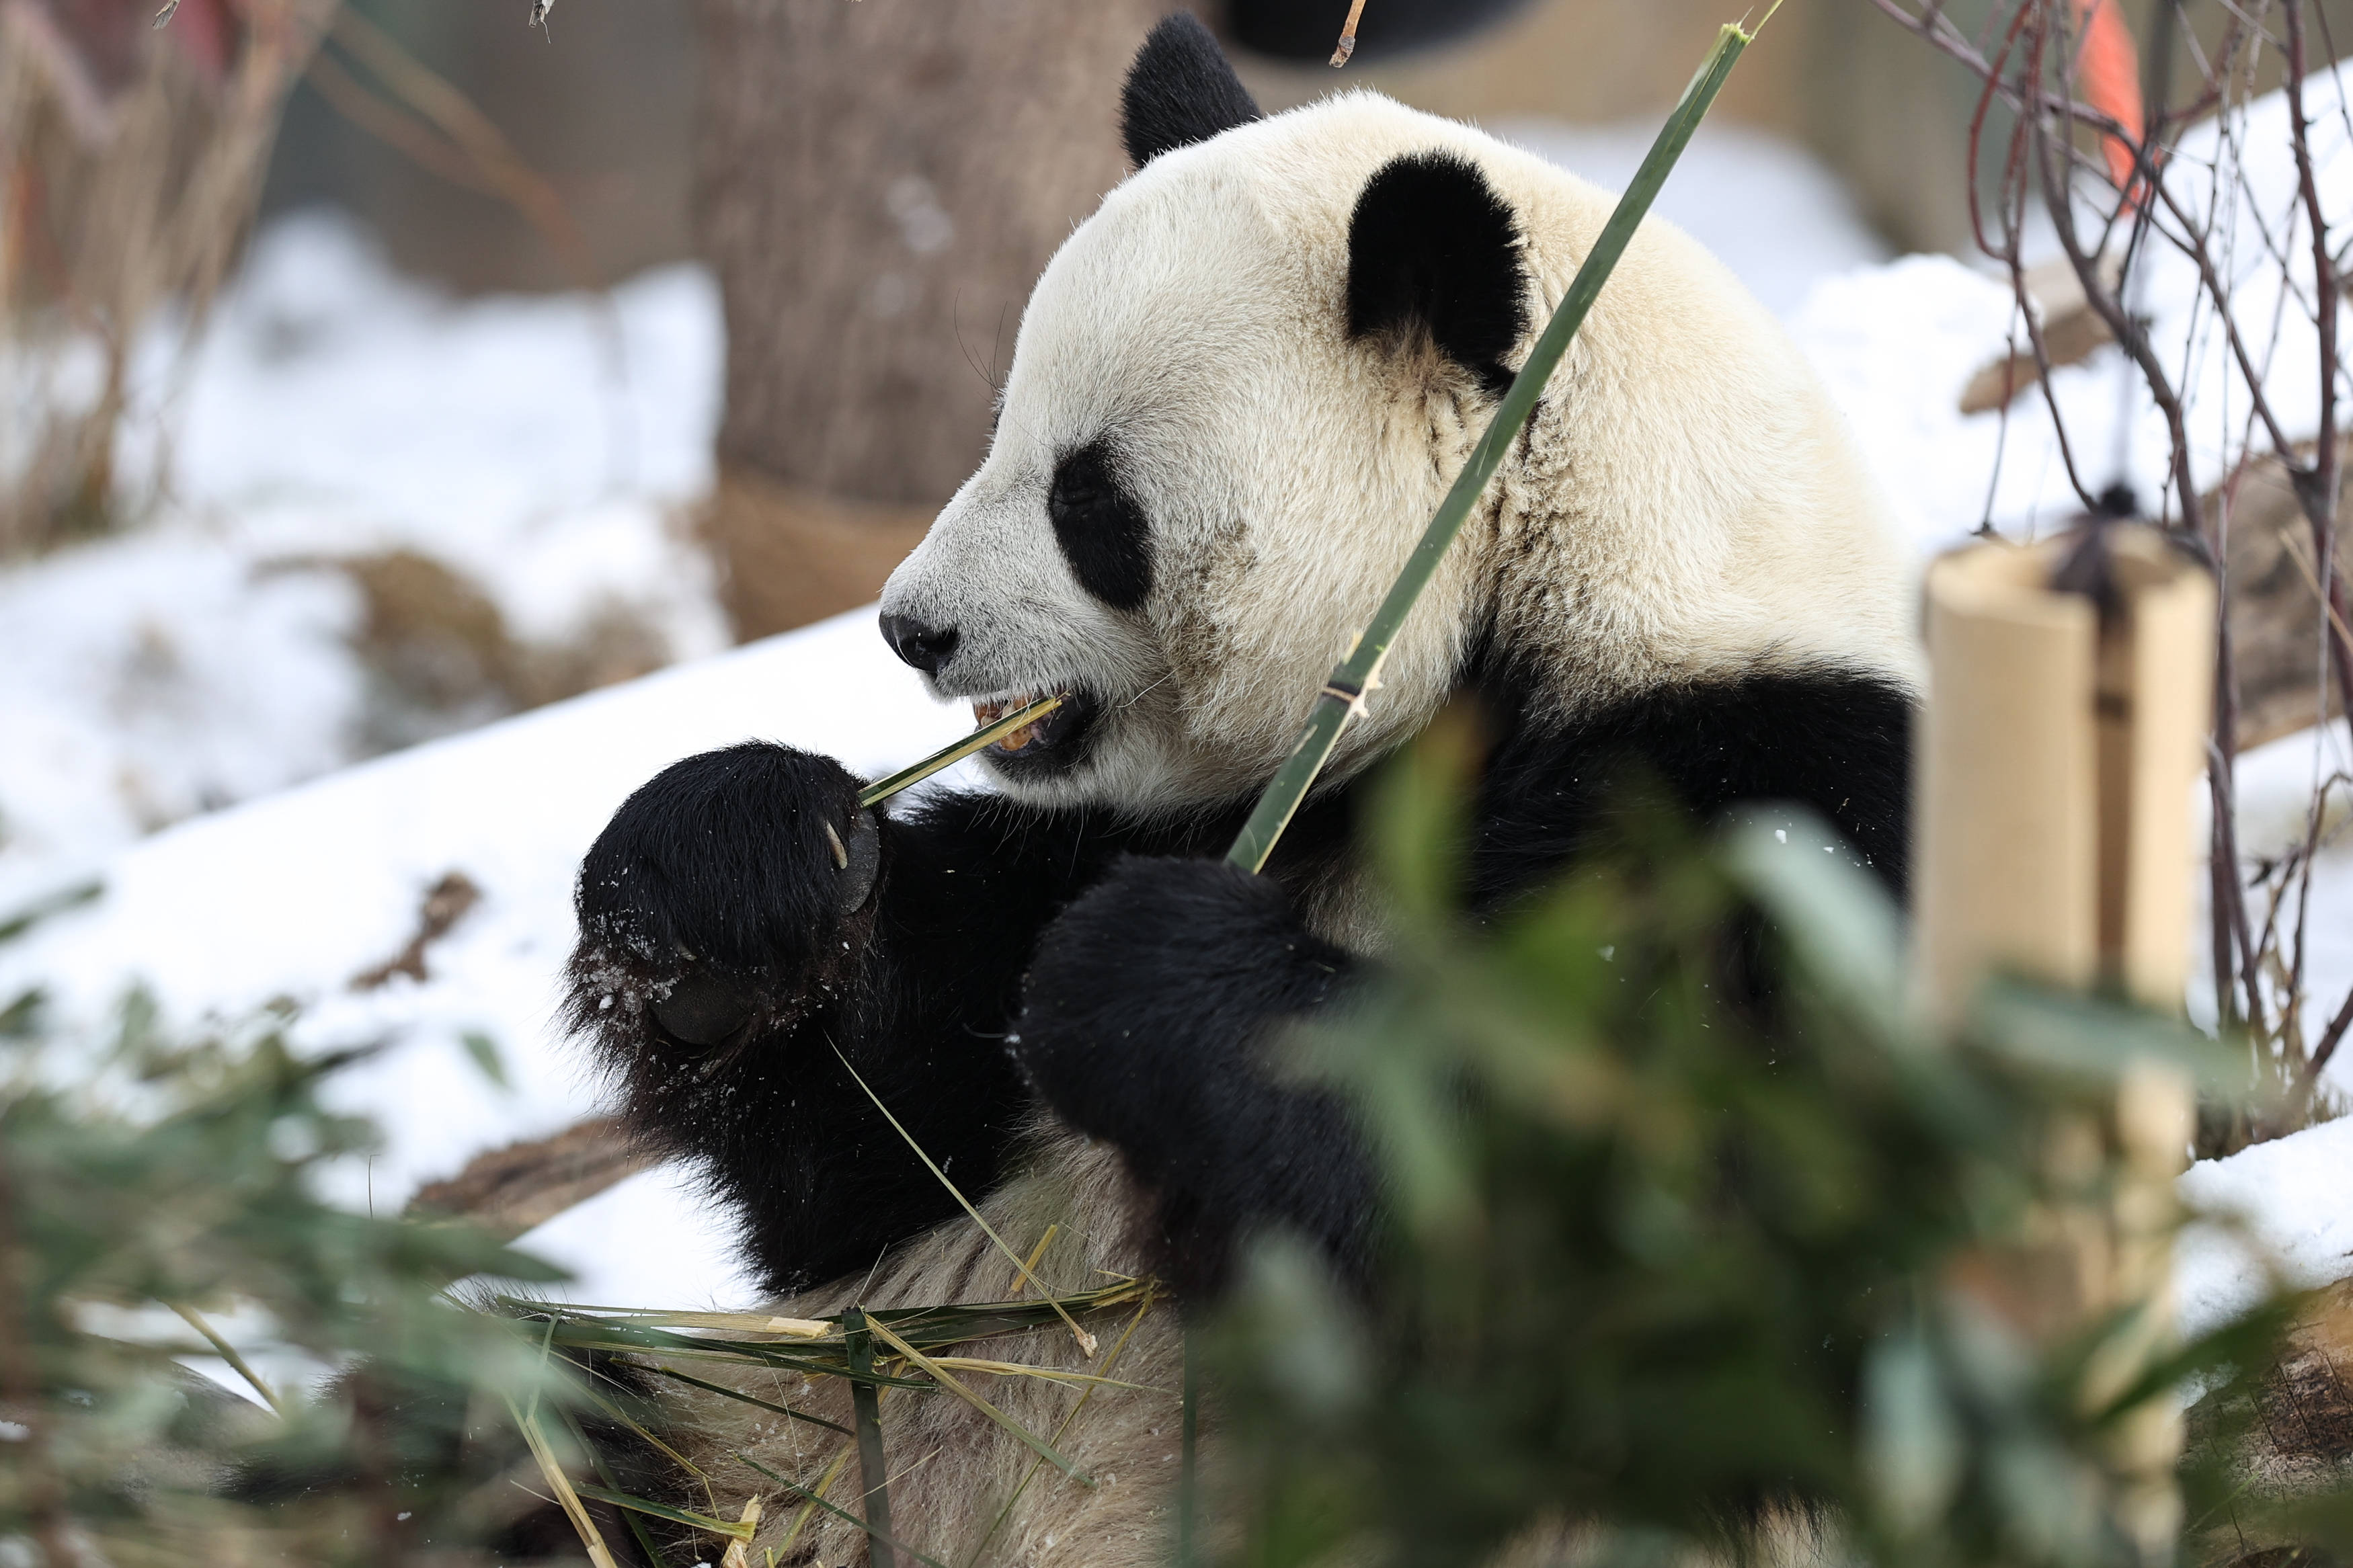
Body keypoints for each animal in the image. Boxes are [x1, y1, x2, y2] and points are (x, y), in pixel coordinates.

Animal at [560, 15, 1920, 1568]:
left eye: (1090, 503)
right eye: (996, 425)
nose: (912, 629)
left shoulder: (1769, 799)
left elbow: (1679, 1256)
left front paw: (1157, 980)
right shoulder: (1099, 834)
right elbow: (867, 1152)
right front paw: (741, 864)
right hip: (789, 1456)